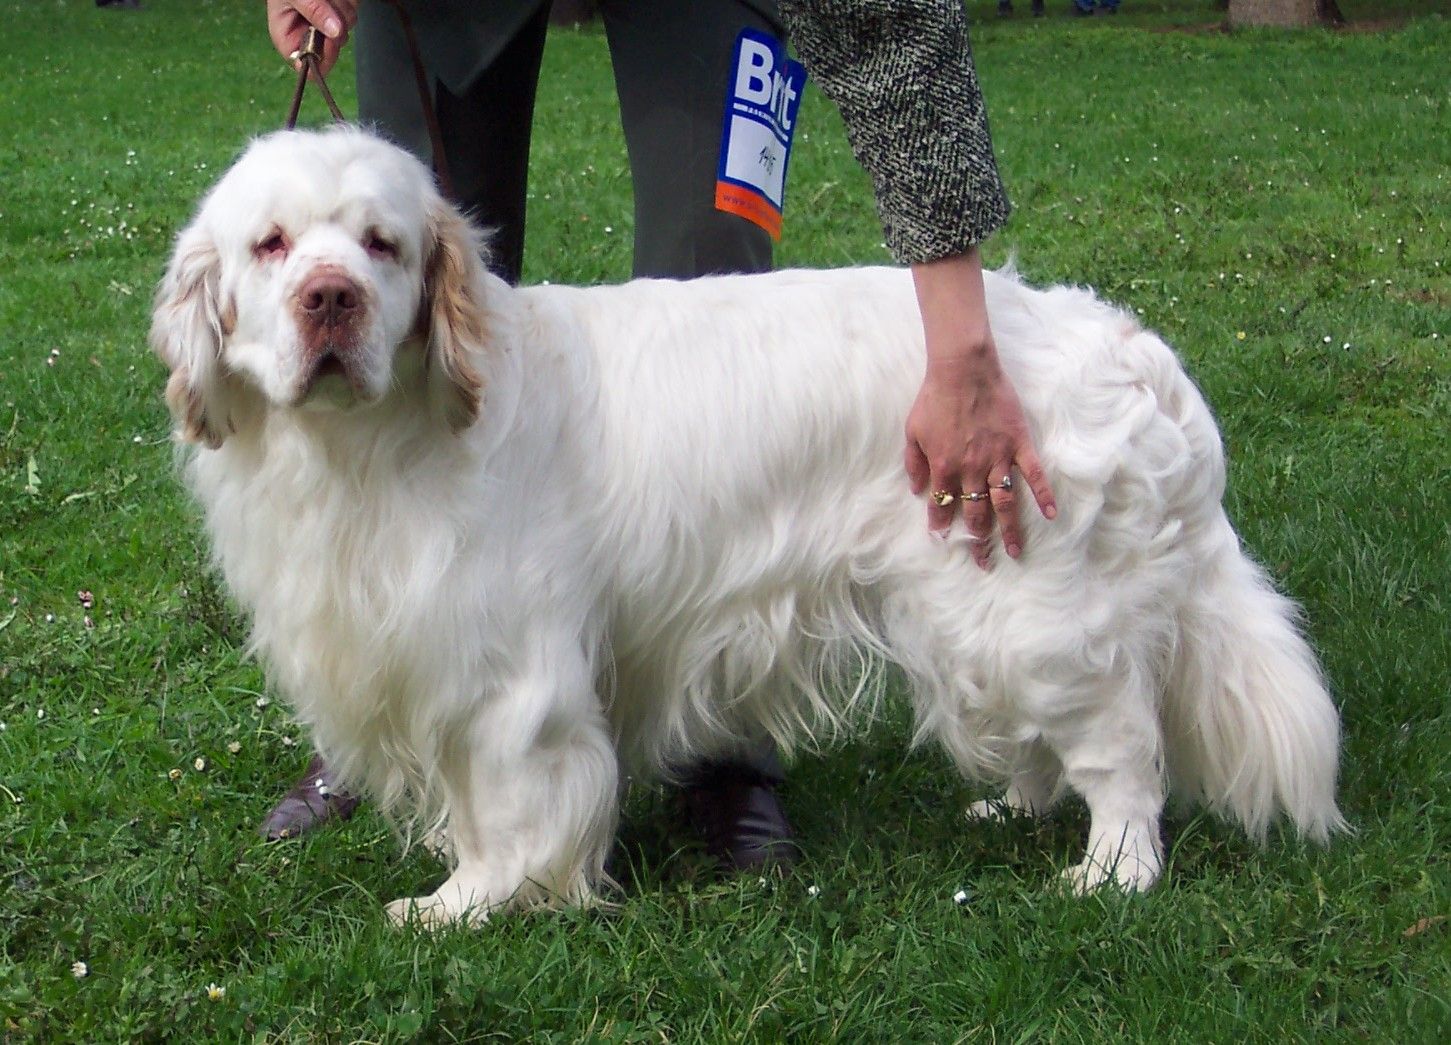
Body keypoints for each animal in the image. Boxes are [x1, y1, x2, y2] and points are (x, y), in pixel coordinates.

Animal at [153, 128, 1340, 923]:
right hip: (975, 609)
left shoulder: (505, 676)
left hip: (1036, 607)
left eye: (382, 245)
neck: (371, 446)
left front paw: (470, 903)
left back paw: (1111, 873)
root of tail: (1129, 347)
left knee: (1123, 751)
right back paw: (1010, 809)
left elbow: (505, 807)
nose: (331, 299)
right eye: (270, 246)